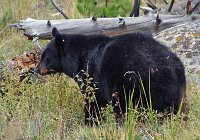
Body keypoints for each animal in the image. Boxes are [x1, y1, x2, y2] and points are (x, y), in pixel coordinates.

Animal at [35, 27, 187, 124]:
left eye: (45, 57)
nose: (36, 69)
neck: (78, 57)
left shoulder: (93, 75)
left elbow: (94, 101)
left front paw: (90, 122)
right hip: (177, 90)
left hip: (133, 83)